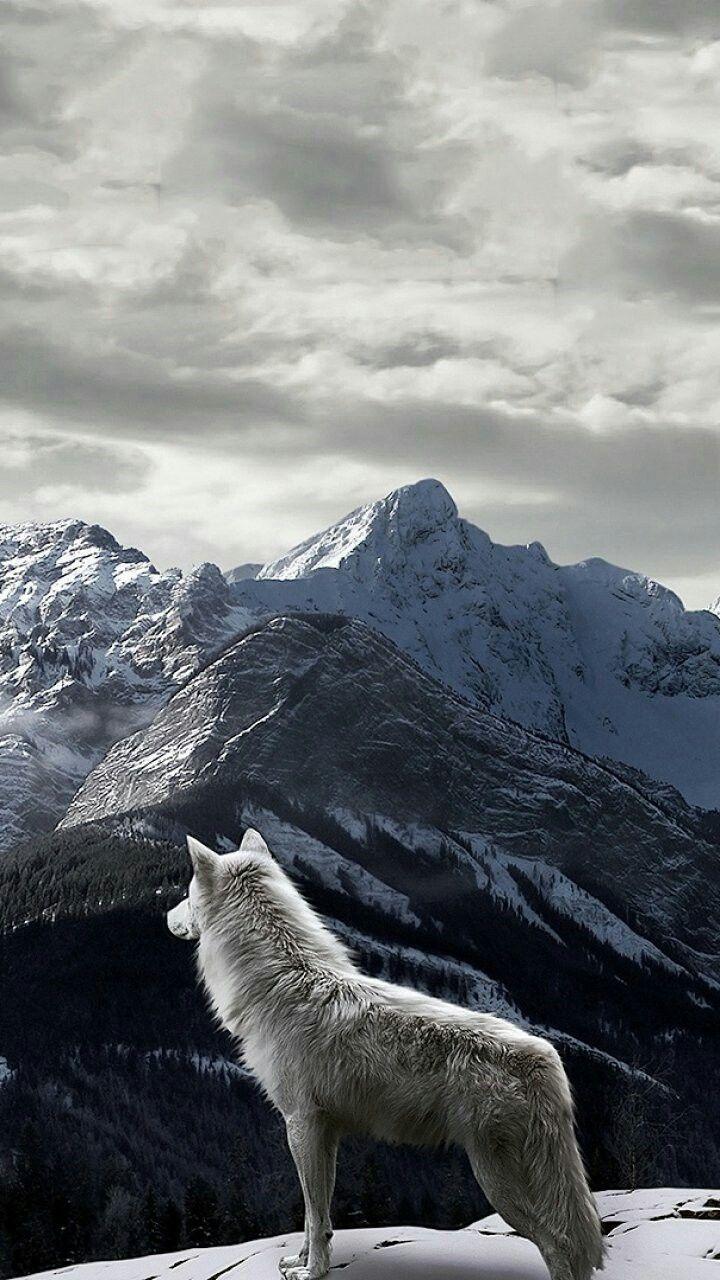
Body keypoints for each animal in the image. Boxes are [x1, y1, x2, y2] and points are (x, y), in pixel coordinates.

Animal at [167, 830, 604, 1280]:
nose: (166, 915)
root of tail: (545, 1057)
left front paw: (312, 1272)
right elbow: (316, 1215)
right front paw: (301, 1260)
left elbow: (314, 1214)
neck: (280, 983)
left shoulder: (301, 1124)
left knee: (560, 1245)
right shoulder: (324, 1132)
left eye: (186, 894)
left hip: (499, 1184)